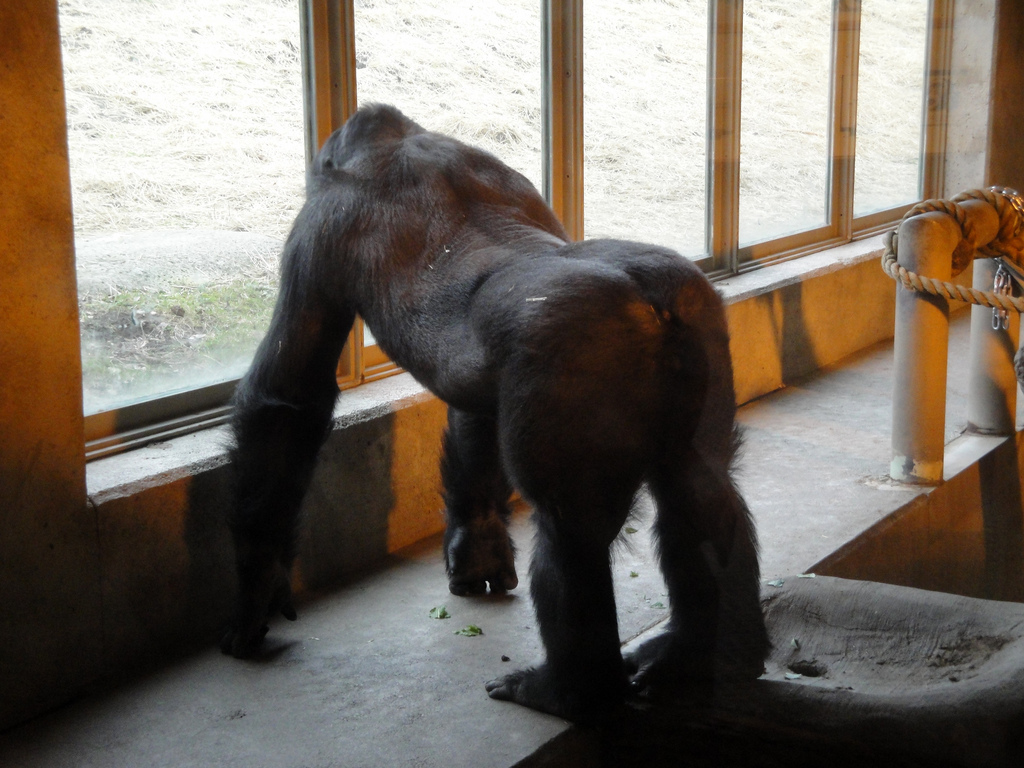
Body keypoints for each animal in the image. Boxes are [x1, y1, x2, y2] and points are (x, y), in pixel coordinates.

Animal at [222, 103, 769, 722]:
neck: (399, 144)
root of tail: (651, 301)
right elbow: (473, 407)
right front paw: (478, 546)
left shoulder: (318, 230)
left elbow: (287, 399)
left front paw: (256, 584)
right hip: (699, 312)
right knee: (701, 489)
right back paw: (704, 653)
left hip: (571, 338)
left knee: (569, 528)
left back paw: (568, 691)